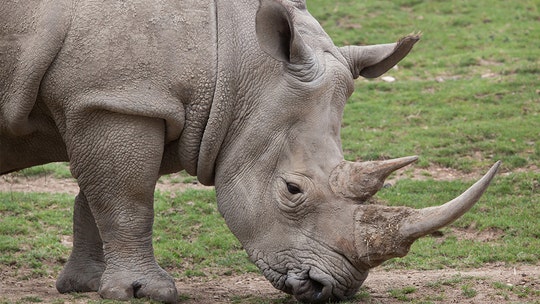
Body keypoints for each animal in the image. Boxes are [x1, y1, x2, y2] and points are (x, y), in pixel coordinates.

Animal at [0, 0, 500, 302]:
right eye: (293, 190)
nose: (327, 289)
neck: (234, 60)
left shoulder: (121, 102)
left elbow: (95, 198)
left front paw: (85, 286)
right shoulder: (116, 99)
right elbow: (127, 201)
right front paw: (144, 292)